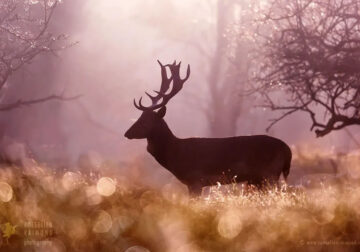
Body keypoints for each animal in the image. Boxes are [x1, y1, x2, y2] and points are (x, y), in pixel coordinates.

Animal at [124, 60, 292, 194]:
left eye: (146, 121)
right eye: (139, 117)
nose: (127, 133)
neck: (176, 154)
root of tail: (287, 150)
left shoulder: (195, 180)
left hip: (269, 173)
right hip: (260, 178)